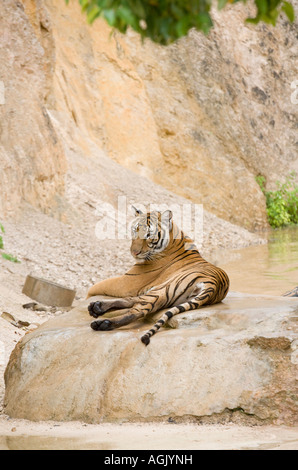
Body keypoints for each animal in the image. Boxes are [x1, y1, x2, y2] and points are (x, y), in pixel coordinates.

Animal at [87, 207, 229, 346]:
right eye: (135, 230)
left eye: (148, 235)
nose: (134, 252)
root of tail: (213, 285)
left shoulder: (126, 281)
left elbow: (95, 287)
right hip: (164, 292)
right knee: (133, 301)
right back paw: (97, 307)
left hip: (163, 289)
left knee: (138, 310)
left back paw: (102, 322)